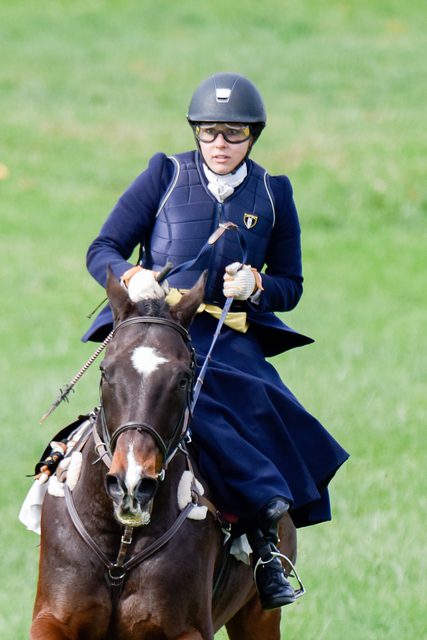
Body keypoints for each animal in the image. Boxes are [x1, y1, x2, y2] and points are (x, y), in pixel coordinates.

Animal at [30, 272, 298, 640]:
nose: (131, 484)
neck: (121, 542)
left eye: (183, 378)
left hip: (258, 616)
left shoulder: (186, 630)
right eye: (105, 371)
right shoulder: (51, 619)